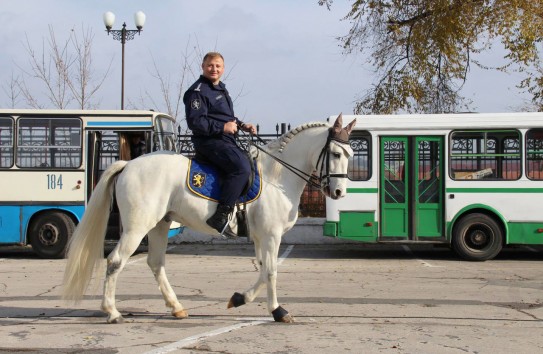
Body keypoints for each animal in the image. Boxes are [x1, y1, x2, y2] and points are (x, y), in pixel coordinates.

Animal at [62, 113, 356, 324]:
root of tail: (128, 164)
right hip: (137, 227)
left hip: (159, 225)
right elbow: (271, 271)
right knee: (115, 261)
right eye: (336, 154)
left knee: (155, 263)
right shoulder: (272, 236)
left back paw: (176, 307)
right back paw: (112, 312)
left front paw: (239, 298)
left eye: (351, 154)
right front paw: (277, 311)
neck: (277, 177)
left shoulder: (261, 237)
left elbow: (263, 270)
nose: (339, 192)